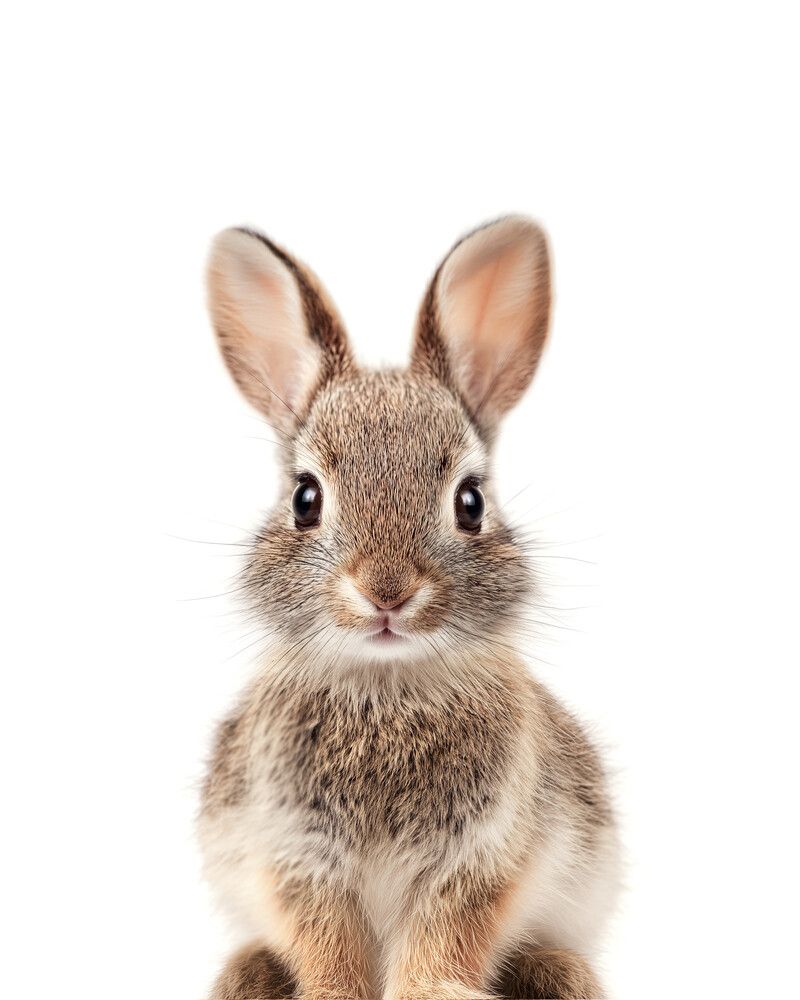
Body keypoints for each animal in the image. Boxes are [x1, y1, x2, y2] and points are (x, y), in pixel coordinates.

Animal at [198, 217, 621, 1000]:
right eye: (305, 497)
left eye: (470, 502)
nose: (387, 590)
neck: (388, 685)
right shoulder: (298, 854)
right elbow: (327, 941)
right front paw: (333, 994)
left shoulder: (479, 857)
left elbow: (444, 936)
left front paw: (433, 992)